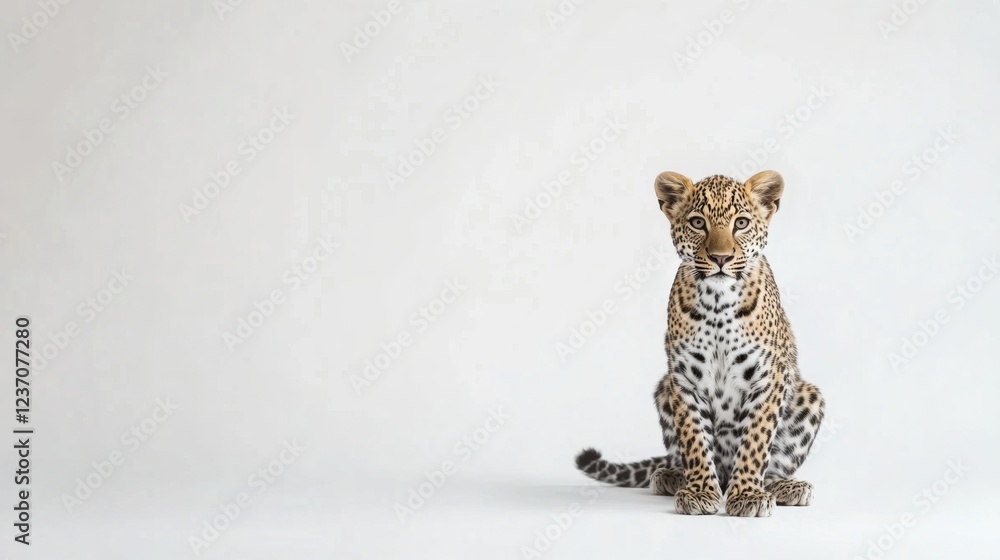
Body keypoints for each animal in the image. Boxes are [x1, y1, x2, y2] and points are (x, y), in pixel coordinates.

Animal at [574, 170, 825, 517]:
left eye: (741, 223)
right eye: (697, 222)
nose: (720, 258)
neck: (718, 303)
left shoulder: (768, 378)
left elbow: (756, 440)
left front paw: (747, 495)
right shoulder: (684, 378)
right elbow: (693, 437)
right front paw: (700, 492)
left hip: (808, 395)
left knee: (773, 466)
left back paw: (785, 487)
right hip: (663, 389)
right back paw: (670, 476)